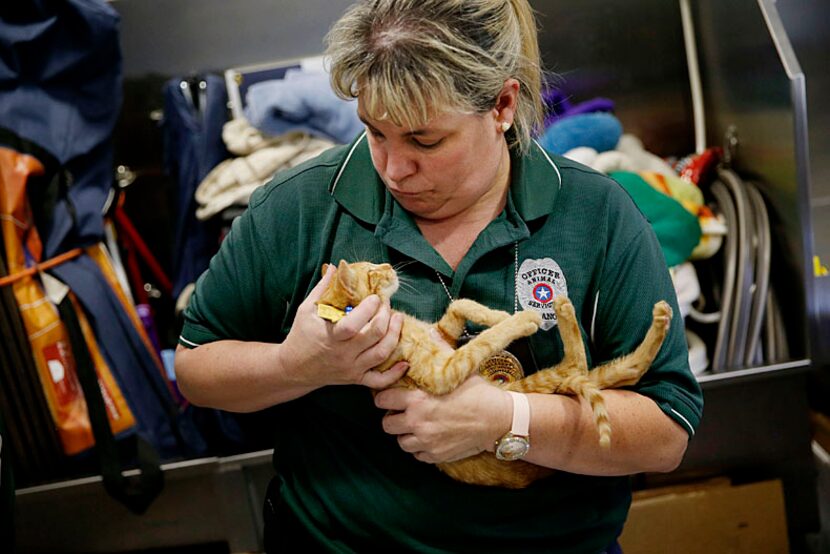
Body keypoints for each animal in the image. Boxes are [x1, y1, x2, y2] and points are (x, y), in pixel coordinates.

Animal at [316, 260, 672, 486]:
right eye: (372, 271)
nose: (389, 267)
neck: (395, 321)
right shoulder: (443, 371)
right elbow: (483, 341)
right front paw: (518, 321)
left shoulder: (443, 334)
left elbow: (460, 303)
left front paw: (498, 314)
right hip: (539, 382)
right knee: (580, 364)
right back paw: (562, 308)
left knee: (622, 370)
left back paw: (660, 316)